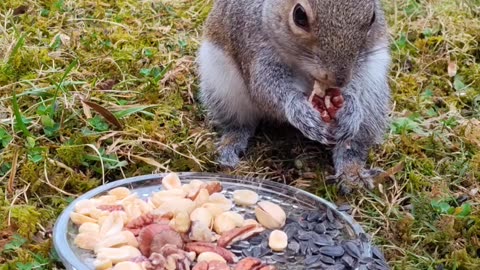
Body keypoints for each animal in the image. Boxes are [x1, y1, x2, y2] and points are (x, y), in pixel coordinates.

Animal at [197, 0, 392, 192]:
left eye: (373, 16)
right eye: (299, 16)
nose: (339, 79)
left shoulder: (364, 63)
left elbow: (356, 80)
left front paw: (350, 105)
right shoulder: (256, 48)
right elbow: (265, 88)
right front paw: (300, 111)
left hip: (372, 97)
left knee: (355, 144)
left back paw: (352, 172)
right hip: (223, 88)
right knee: (239, 124)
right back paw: (231, 143)